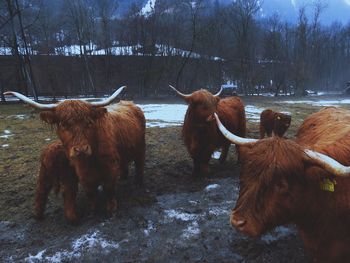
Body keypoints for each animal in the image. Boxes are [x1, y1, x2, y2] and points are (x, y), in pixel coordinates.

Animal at [5, 87, 145, 218]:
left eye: (88, 122)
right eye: (63, 124)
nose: (81, 149)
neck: (91, 160)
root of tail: (129, 103)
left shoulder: (110, 167)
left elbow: (109, 189)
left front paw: (111, 209)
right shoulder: (82, 172)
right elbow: (90, 191)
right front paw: (93, 209)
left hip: (140, 148)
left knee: (139, 164)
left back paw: (138, 183)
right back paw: (123, 177)